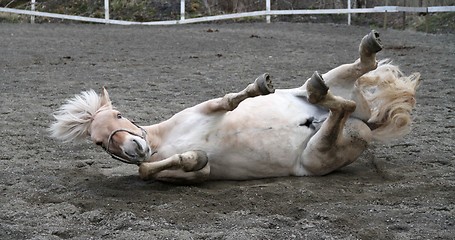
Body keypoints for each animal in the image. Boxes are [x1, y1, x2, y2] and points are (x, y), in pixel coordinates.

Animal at [50, 31, 420, 183]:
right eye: (99, 142)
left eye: (119, 115)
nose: (135, 147)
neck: (161, 141)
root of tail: (366, 123)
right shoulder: (195, 173)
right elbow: (178, 166)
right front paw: (190, 157)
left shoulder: (209, 108)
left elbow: (228, 100)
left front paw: (260, 86)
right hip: (319, 154)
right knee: (341, 107)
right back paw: (323, 96)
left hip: (330, 86)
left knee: (360, 70)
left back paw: (362, 51)